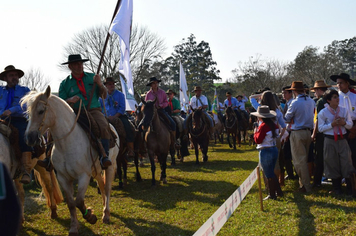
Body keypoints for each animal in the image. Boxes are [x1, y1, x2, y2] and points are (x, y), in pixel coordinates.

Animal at [22, 86, 119, 236]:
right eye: (28, 113)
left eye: (41, 111)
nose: (29, 138)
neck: (67, 144)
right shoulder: (63, 178)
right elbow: (71, 203)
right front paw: (74, 226)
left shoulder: (83, 176)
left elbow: (78, 201)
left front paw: (90, 216)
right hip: (96, 170)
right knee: (102, 186)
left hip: (110, 166)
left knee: (107, 188)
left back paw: (106, 214)